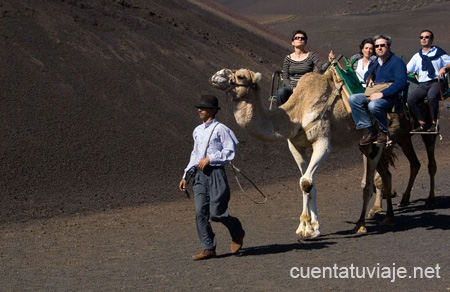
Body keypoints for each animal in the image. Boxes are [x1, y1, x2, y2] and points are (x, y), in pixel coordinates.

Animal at [210, 68, 436, 237]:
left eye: (241, 76)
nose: (216, 75)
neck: (296, 112)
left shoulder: (323, 142)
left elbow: (306, 182)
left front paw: (308, 228)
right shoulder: (297, 146)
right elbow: (307, 182)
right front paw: (309, 227)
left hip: (383, 139)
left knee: (372, 181)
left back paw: (363, 223)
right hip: (367, 143)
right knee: (385, 175)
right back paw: (386, 217)